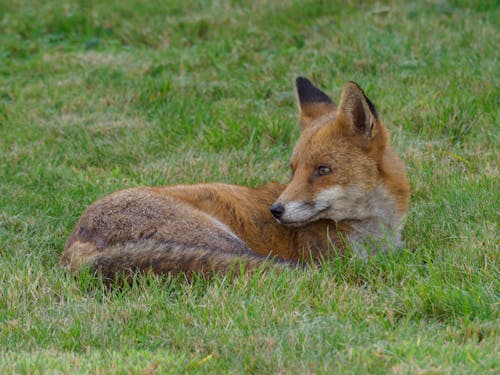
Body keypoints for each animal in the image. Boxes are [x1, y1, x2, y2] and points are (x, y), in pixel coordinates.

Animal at [59, 78, 410, 280]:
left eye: (322, 170)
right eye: (293, 169)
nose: (275, 211)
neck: (375, 232)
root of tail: (75, 244)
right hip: (225, 240)